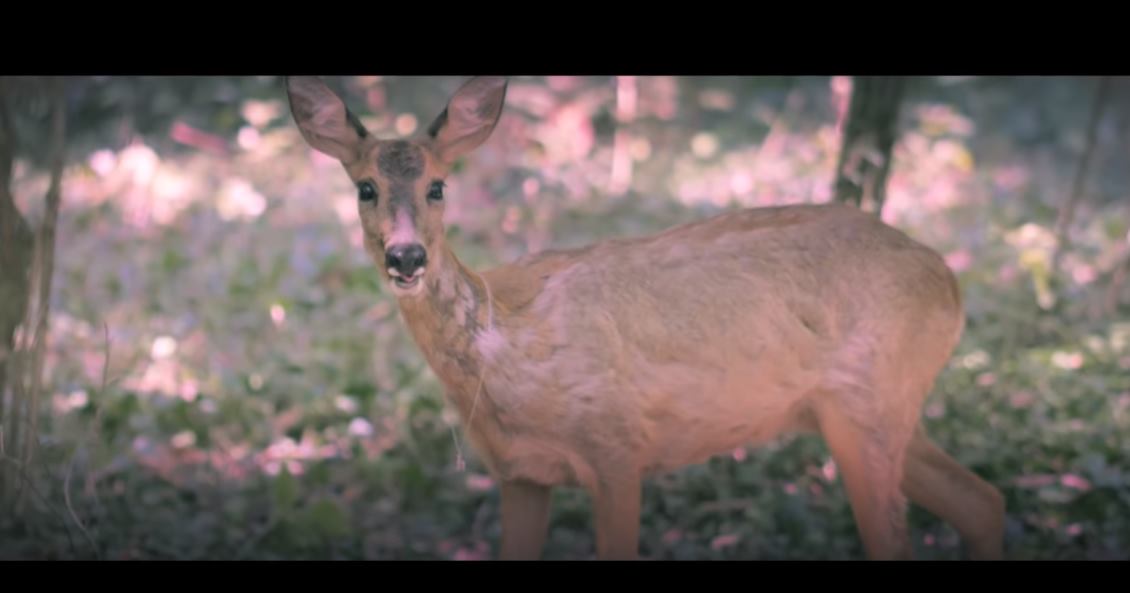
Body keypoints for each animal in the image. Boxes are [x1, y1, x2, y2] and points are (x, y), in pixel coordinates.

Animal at [284, 75, 1007, 560]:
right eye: (365, 188)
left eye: (437, 186)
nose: (406, 256)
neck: (511, 355)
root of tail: (948, 279)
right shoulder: (519, 472)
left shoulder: (618, 447)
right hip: (868, 409)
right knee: (983, 499)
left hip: (869, 402)